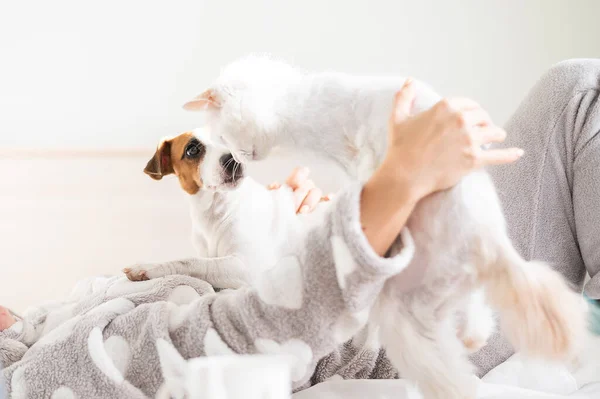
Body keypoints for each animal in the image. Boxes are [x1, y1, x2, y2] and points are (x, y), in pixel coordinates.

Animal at [123, 130, 328, 290]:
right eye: (192, 150)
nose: (233, 160)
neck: (217, 210)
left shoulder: (250, 268)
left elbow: (191, 261)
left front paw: (151, 267)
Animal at [183, 55, 584, 399]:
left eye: (226, 139)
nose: (238, 160)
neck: (301, 112)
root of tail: (488, 247)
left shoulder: (368, 131)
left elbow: (368, 157)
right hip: (417, 310)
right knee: (461, 339)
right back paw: (468, 346)